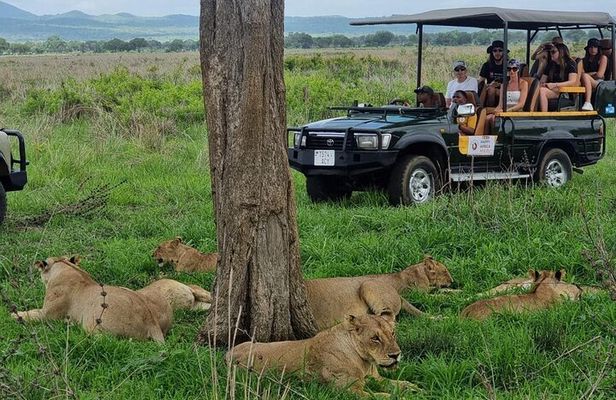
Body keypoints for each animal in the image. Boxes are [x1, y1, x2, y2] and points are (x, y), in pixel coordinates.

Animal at [227, 316, 418, 396]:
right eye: (375, 338)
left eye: (392, 333)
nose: (396, 355)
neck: (365, 362)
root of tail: (227, 354)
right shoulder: (347, 391)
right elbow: (381, 396)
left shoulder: (375, 378)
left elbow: (399, 383)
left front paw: (416, 388)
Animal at [304, 255, 452, 330]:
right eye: (445, 271)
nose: (452, 280)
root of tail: (397, 295)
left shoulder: (420, 293)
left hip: (368, 284)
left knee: (387, 320)